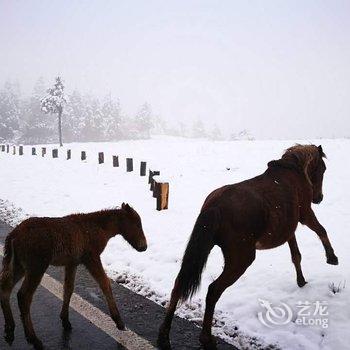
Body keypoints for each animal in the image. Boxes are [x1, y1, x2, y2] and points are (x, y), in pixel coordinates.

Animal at [0, 202, 148, 350]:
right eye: (137, 224)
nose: (144, 247)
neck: (103, 230)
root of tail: (12, 237)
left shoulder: (72, 262)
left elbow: (68, 288)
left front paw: (65, 320)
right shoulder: (90, 257)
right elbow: (105, 283)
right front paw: (119, 321)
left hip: (18, 265)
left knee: (6, 288)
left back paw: (10, 329)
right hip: (36, 266)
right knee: (23, 296)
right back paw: (33, 339)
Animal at [159, 145, 340, 350]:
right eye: (323, 169)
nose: (319, 198)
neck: (293, 170)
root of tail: (215, 206)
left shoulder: (288, 229)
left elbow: (296, 255)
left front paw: (301, 281)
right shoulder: (305, 215)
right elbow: (321, 230)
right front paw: (332, 257)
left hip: (205, 249)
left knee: (178, 285)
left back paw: (164, 337)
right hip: (241, 259)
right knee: (213, 291)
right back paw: (207, 339)